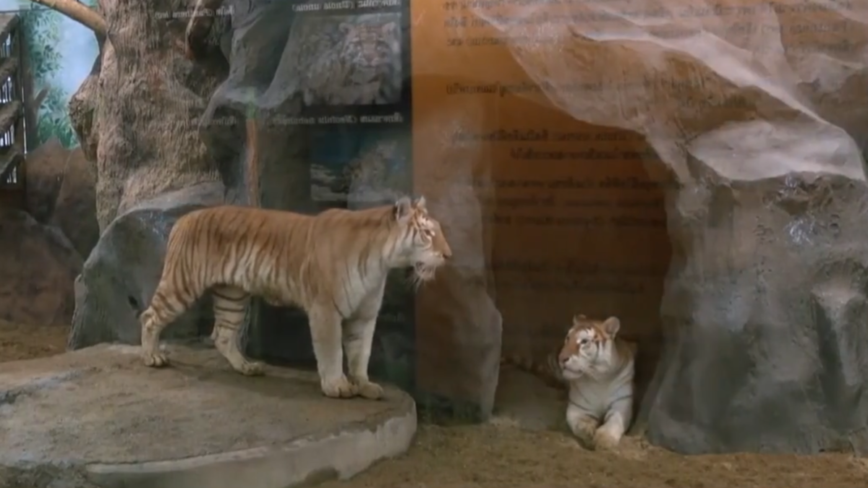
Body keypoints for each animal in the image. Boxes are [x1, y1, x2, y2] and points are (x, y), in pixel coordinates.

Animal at [138, 196, 452, 400]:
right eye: (427, 233)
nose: (449, 255)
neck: (381, 262)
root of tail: (184, 218)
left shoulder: (364, 315)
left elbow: (360, 353)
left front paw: (364, 385)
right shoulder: (325, 310)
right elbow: (332, 351)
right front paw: (337, 386)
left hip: (232, 296)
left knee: (223, 335)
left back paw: (247, 367)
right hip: (182, 285)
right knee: (150, 317)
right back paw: (152, 356)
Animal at [503, 314, 636, 450]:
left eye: (584, 341)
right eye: (568, 338)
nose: (561, 358)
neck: (599, 379)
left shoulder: (621, 405)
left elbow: (614, 422)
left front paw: (603, 440)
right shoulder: (578, 409)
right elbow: (581, 425)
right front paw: (589, 434)